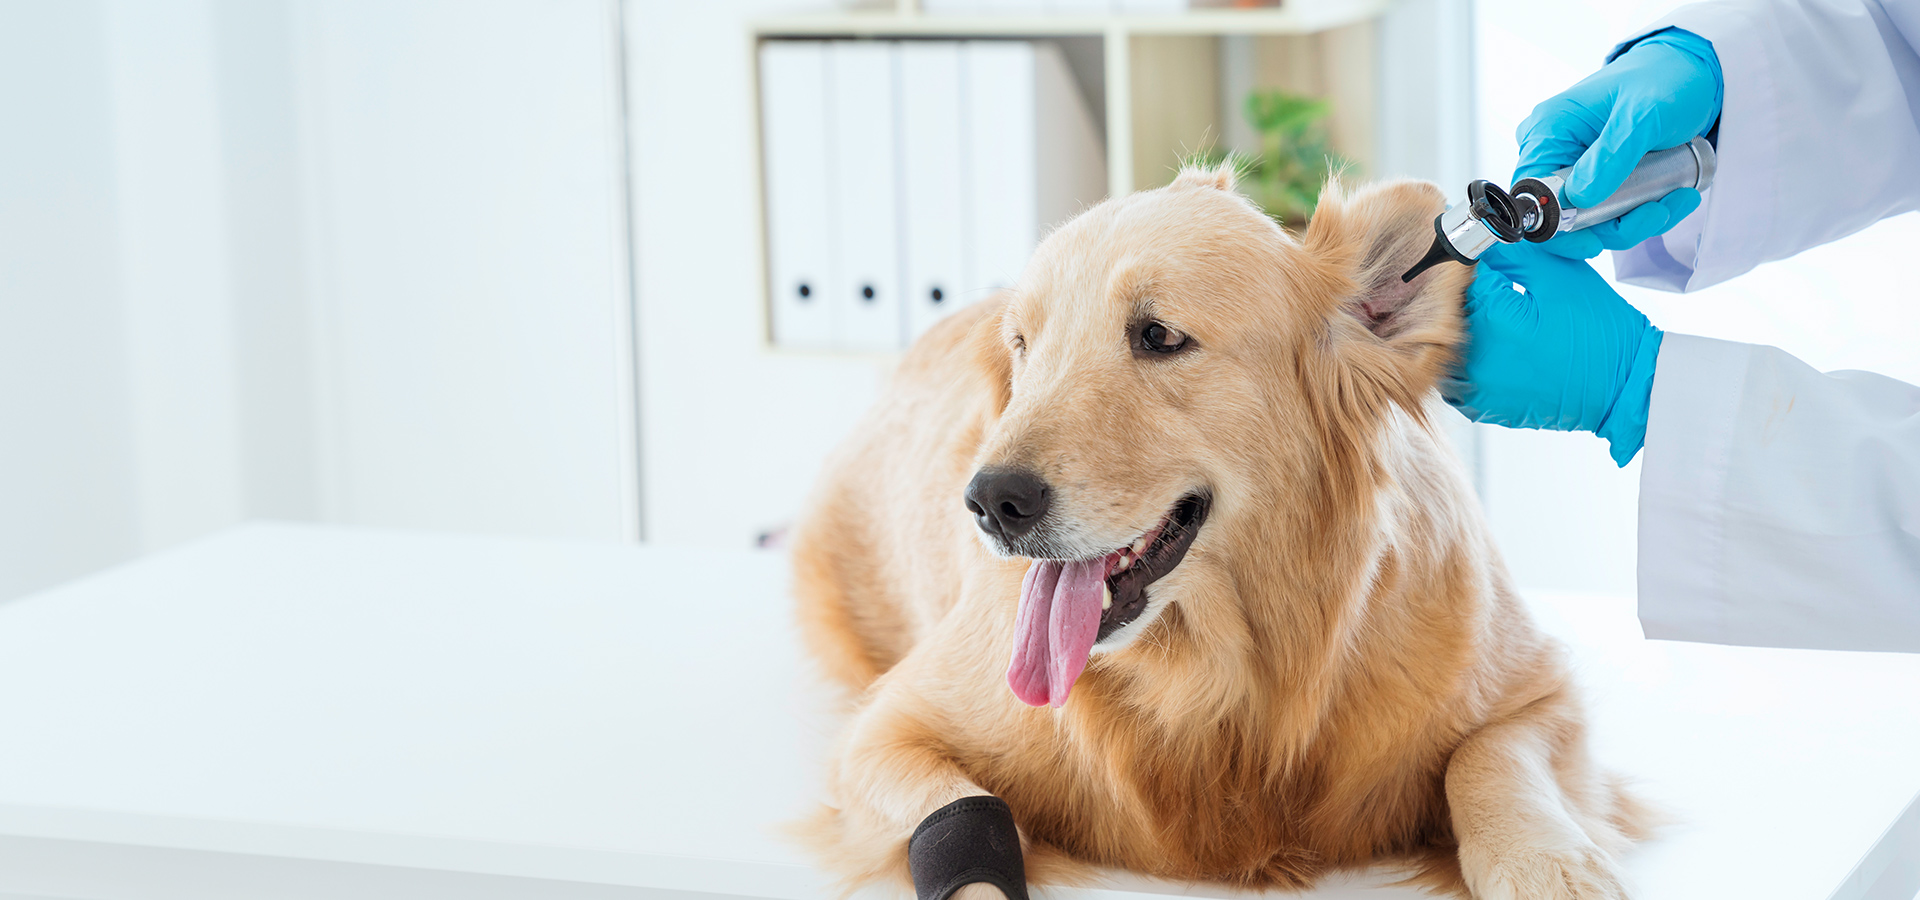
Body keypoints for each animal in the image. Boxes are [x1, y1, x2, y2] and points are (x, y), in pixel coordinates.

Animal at [787, 165, 1643, 894]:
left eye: (1159, 336)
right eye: (1023, 348)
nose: (990, 502)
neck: (1226, 683)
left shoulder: (1536, 690)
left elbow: (1490, 763)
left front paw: (1548, 866)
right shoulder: (887, 732)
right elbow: (967, 821)